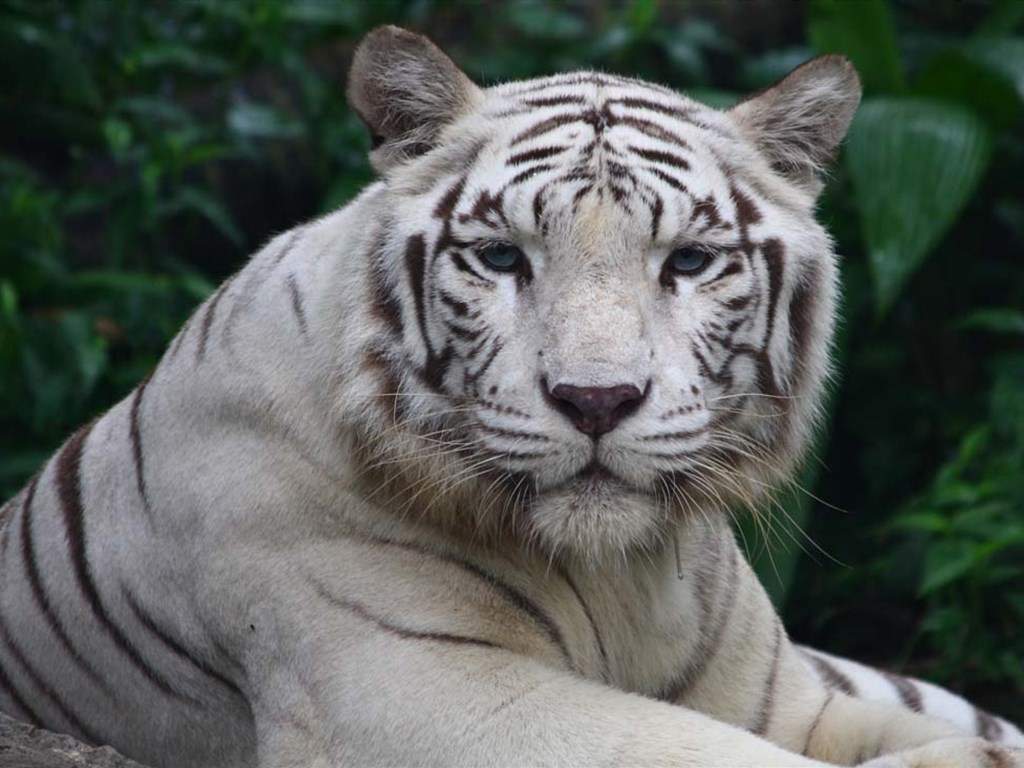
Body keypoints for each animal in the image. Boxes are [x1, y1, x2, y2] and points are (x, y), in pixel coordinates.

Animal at [0, 24, 1021, 768]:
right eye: (501, 258)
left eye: (690, 261)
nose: (597, 400)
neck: (621, 578)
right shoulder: (411, 689)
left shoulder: (790, 699)